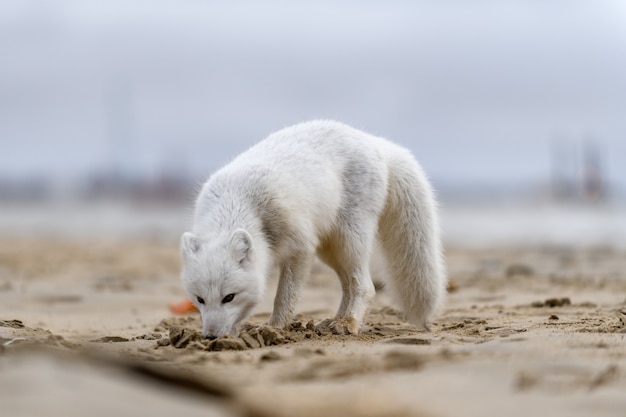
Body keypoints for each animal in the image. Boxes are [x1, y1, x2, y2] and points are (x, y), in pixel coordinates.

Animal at [178, 119, 446, 338]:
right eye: (199, 299)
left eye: (229, 297)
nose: (211, 337)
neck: (238, 201)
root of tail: (374, 141)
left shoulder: (301, 249)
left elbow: (284, 298)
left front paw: (273, 329)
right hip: (330, 250)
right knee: (348, 286)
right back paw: (335, 321)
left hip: (349, 240)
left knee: (365, 286)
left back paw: (348, 323)